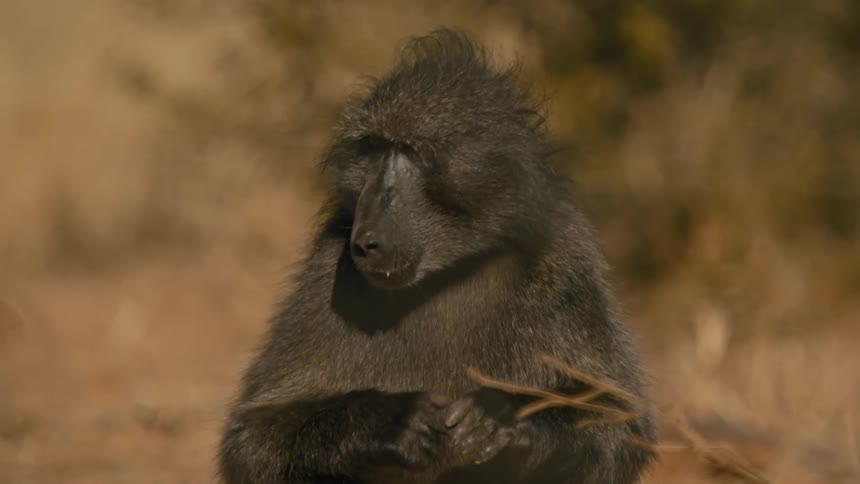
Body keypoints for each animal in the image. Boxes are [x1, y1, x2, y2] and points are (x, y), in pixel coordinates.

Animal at [218, 29, 656, 484]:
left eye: (414, 152)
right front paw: (390, 420)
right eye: (375, 150)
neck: (452, 270)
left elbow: (619, 430)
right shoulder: (328, 265)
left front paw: (503, 414)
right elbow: (251, 439)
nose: (367, 240)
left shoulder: (565, 262)